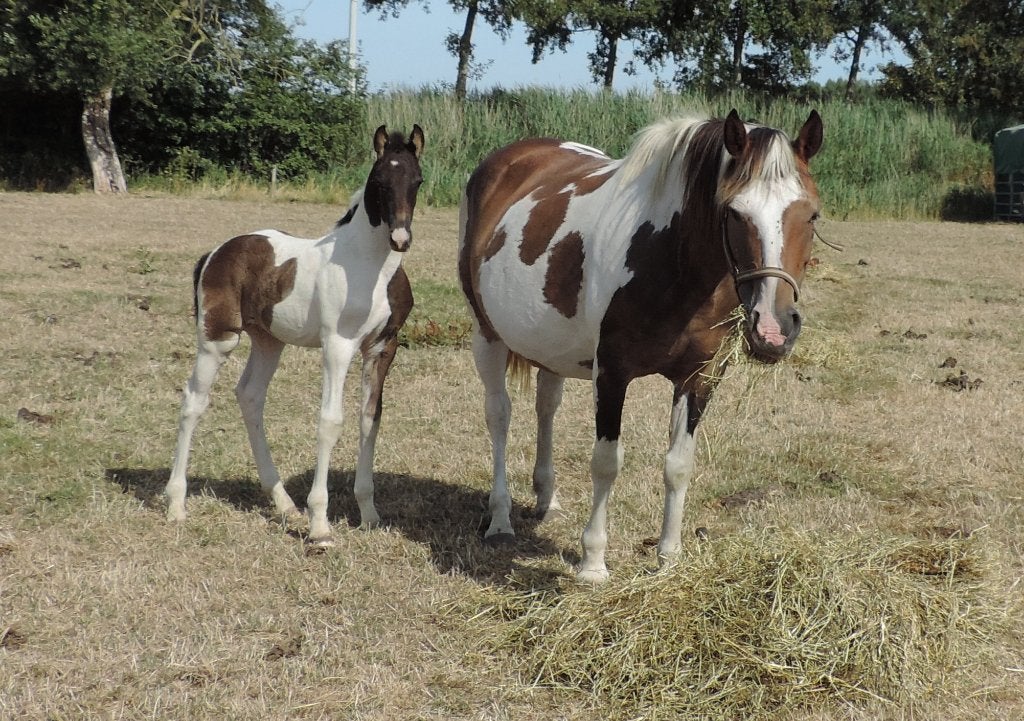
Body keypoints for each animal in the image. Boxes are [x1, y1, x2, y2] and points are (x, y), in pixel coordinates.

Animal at [165, 124, 425, 547]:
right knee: (193, 401)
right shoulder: (338, 345)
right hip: (217, 339)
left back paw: (284, 503)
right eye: (379, 181)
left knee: (250, 396)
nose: (400, 238)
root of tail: (215, 252)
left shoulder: (382, 348)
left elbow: (369, 418)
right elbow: (330, 421)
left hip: (269, 341)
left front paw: (369, 514)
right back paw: (176, 504)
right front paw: (320, 526)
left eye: (417, 181)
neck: (369, 267)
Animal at [459, 109, 822, 583]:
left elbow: (678, 465)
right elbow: (606, 462)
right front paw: (593, 563)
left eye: (812, 215)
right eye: (734, 212)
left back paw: (547, 500)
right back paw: (500, 519)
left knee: (546, 407)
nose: (774, 329)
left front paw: (669, 557)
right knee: (499, 416)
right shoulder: (612, 373)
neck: (669, 259)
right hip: (487, 335)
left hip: (550, 346)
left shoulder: (700, 377)